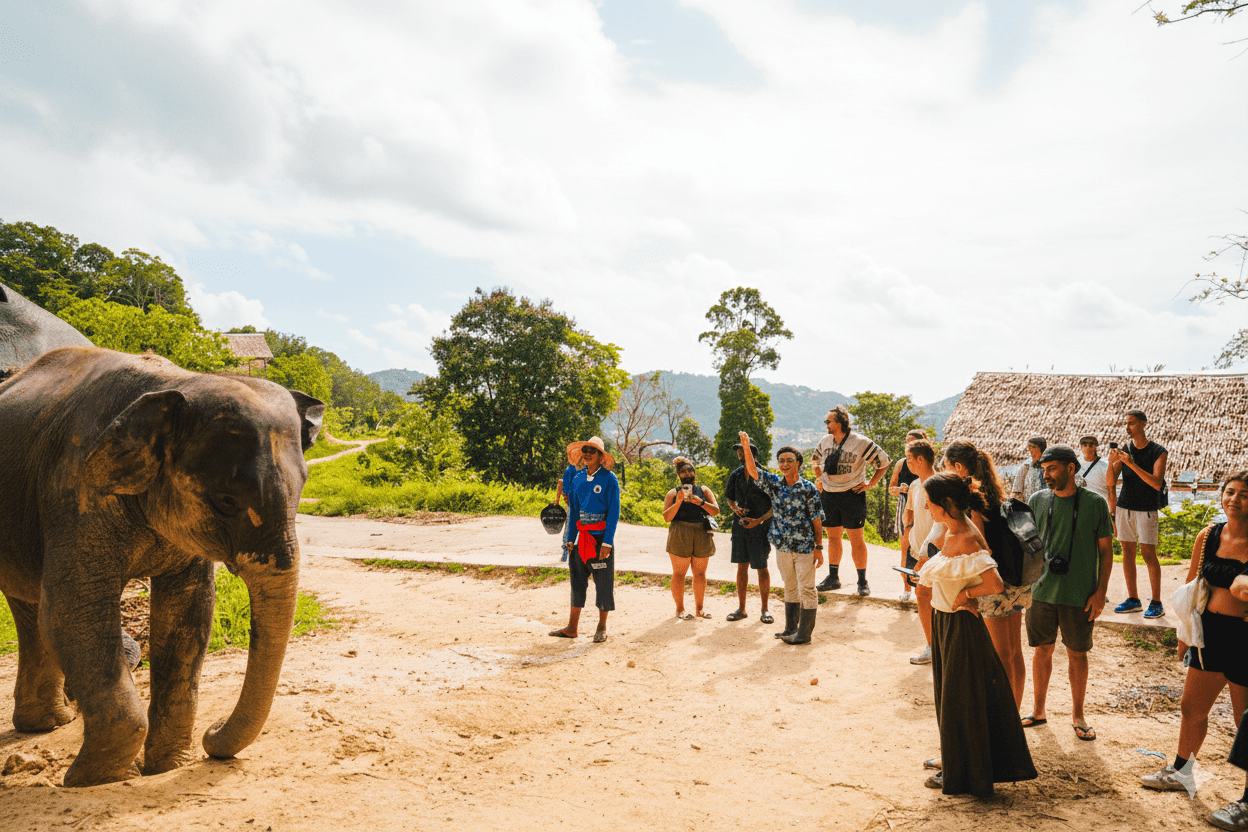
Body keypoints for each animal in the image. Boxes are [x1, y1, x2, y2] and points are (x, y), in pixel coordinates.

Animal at [0, 344, 324, 786]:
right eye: (226, 501)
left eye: (303, 488)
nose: (212, 732)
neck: (179, 383)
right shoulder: (75, 487)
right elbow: (74, 612)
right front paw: (91, 779)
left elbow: (187, 614)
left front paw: (165, 767)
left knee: (28, 604)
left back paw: (47, 724)